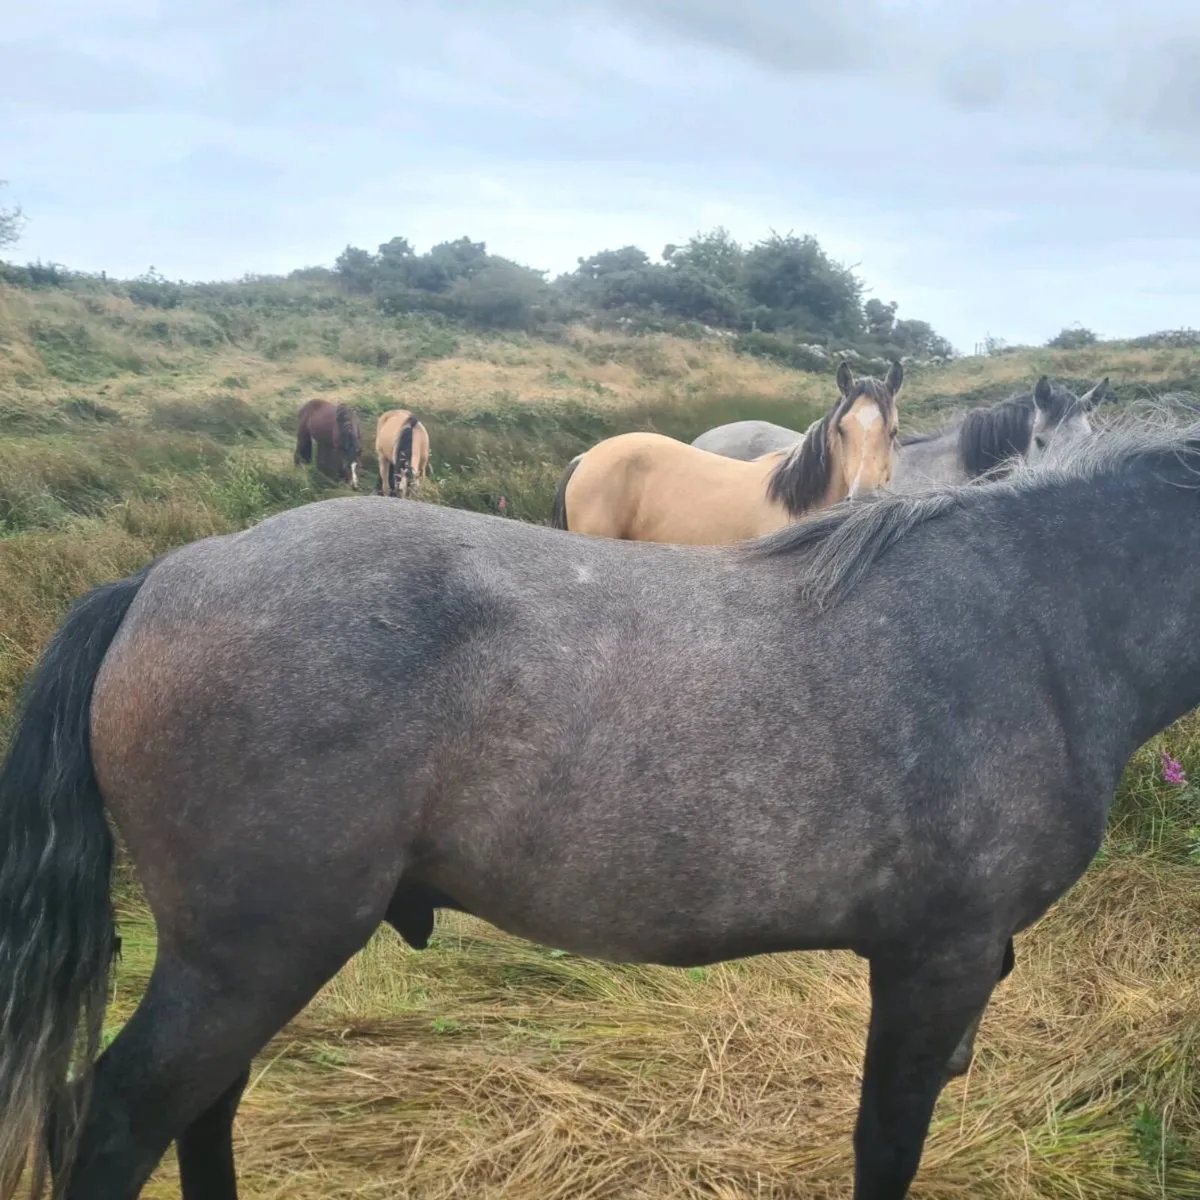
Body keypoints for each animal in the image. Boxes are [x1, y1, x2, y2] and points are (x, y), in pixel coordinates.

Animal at [4, 411, 1200, 1199]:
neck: (1034, 619)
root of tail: (162, 579)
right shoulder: (935, 962)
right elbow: (887, 1144)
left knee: (204, 1112)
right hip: (247, 960)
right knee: (127, 1121)